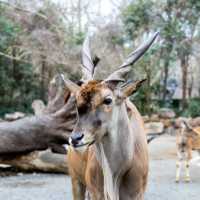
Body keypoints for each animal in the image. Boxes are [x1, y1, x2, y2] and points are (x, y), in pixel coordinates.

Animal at [65, 33, 159, 200]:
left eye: (108, 100)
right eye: (76, 100)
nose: (75, 139)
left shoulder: (137, 195)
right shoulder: (96, 193)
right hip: (76, 181)